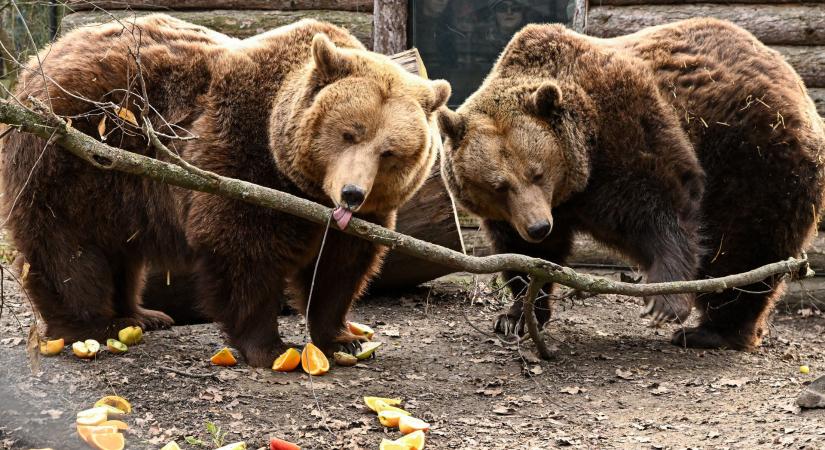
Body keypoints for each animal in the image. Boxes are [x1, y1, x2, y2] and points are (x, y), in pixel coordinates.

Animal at [1, 14, 450, 368]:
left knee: (122, 250)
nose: (353, 194)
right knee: (67, 246)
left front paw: (344, 337)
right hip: (71, 155)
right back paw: (89, 326)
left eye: (389, 151)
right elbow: (242, 249)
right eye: (348, 133)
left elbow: (340, 267)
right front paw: (270, 347)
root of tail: (43, 56)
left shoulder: (360, 220)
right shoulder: (241, 161)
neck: (302, 189)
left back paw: (142, 314)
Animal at [440, 19, 824, 350]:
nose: (538, 226)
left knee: (742, 254)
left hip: (758, 162)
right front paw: (516, 316)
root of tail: (792, 78)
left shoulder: (626, 133)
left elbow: (662, 207)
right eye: (499, 185)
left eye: (537, 172)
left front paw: (663, 301)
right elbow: (526, 256)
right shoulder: (521, 212)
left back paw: (710, 332)